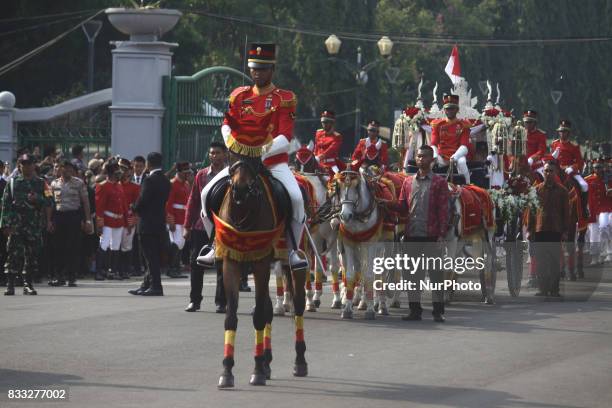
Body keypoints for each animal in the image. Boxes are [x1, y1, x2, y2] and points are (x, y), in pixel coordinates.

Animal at [218, 151, 308, 388]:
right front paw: (227, 370)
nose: (240, 189)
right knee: (269, 308)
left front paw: (257, 370)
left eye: (254, 159)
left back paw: (300, 362)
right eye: (232, 154)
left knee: (298, 305)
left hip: (294, 259)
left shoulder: (260, 262)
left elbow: (259, 314)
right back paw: (267, 362)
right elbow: (232, 315)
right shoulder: (231, 262)